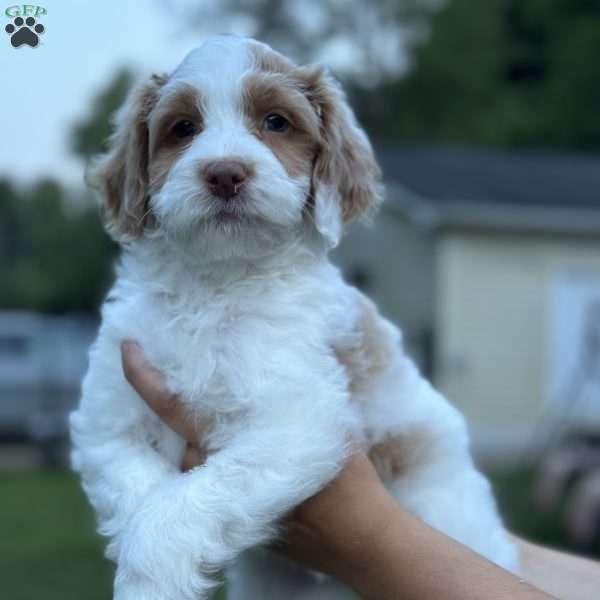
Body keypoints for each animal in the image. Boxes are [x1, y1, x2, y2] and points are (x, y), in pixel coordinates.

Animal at [69, 35, 516, 596]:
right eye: (183, 128)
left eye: (276, 122)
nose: (225, 173)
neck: (216, 283)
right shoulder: (109, 420)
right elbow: (138, 493)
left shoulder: (295, 419)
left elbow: (185, 502)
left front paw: (150, 578)